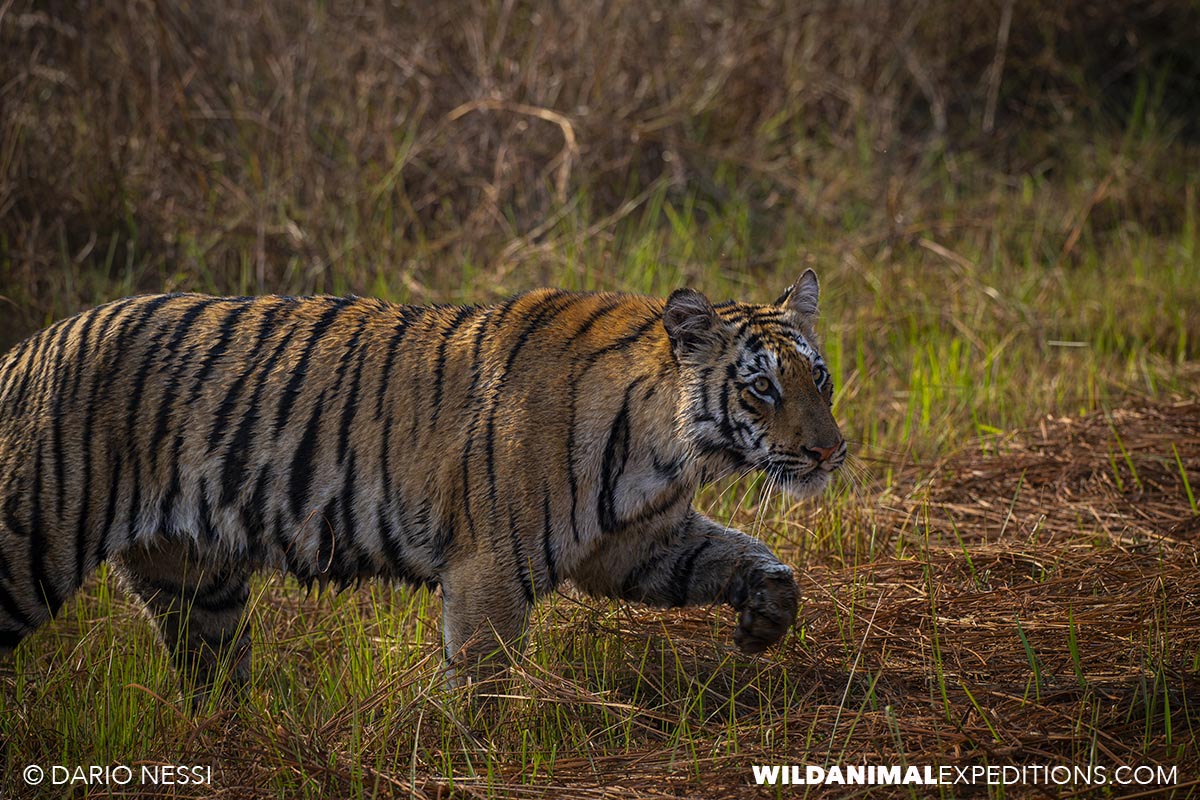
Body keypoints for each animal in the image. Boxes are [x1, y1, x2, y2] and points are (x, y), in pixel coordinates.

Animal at [0, 270, 845, 699]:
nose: (832, 453)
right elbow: (481, 683)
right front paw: (479, 762)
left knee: (211, 679)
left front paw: (766, 620)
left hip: (195, 586)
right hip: (28, 549)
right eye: (762, 388)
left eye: (820, 376)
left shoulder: (640, 542)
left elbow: (745, 556)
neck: (667, 447)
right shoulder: (490, 570)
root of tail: (23, 350)